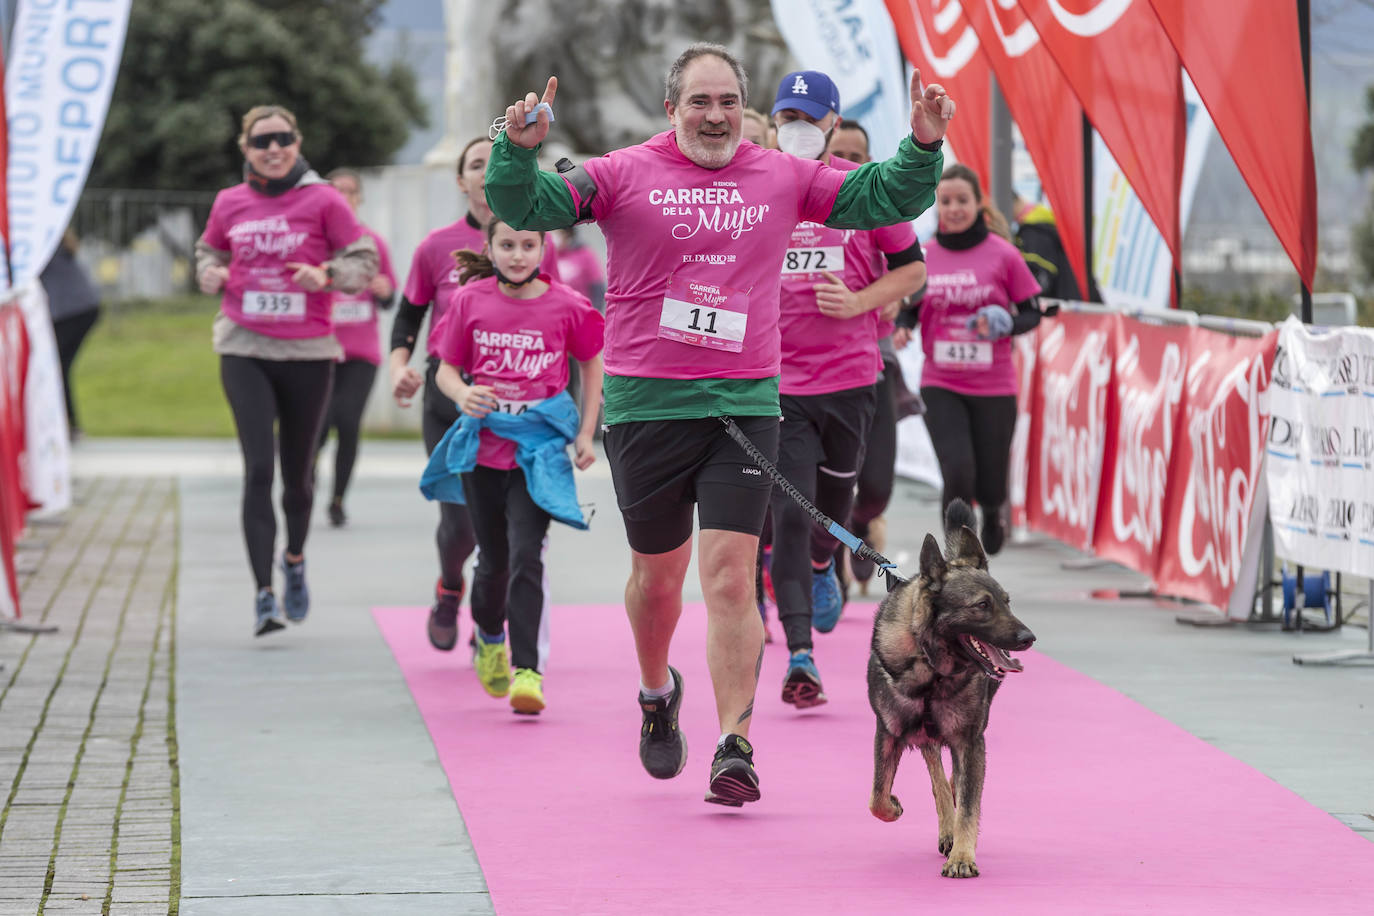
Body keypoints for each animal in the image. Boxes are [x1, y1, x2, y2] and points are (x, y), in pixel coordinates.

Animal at [868, 502, 1033, 878]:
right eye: (982, 605)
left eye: (1007, 601)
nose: (1029, 638)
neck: (932, 669)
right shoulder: (888, 733)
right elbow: (877, 796)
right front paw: (893, 806)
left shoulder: (969, 740)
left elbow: (969, 805)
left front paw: (962, 857)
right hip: (926, 738)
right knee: (939, 780)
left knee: (955, 782)